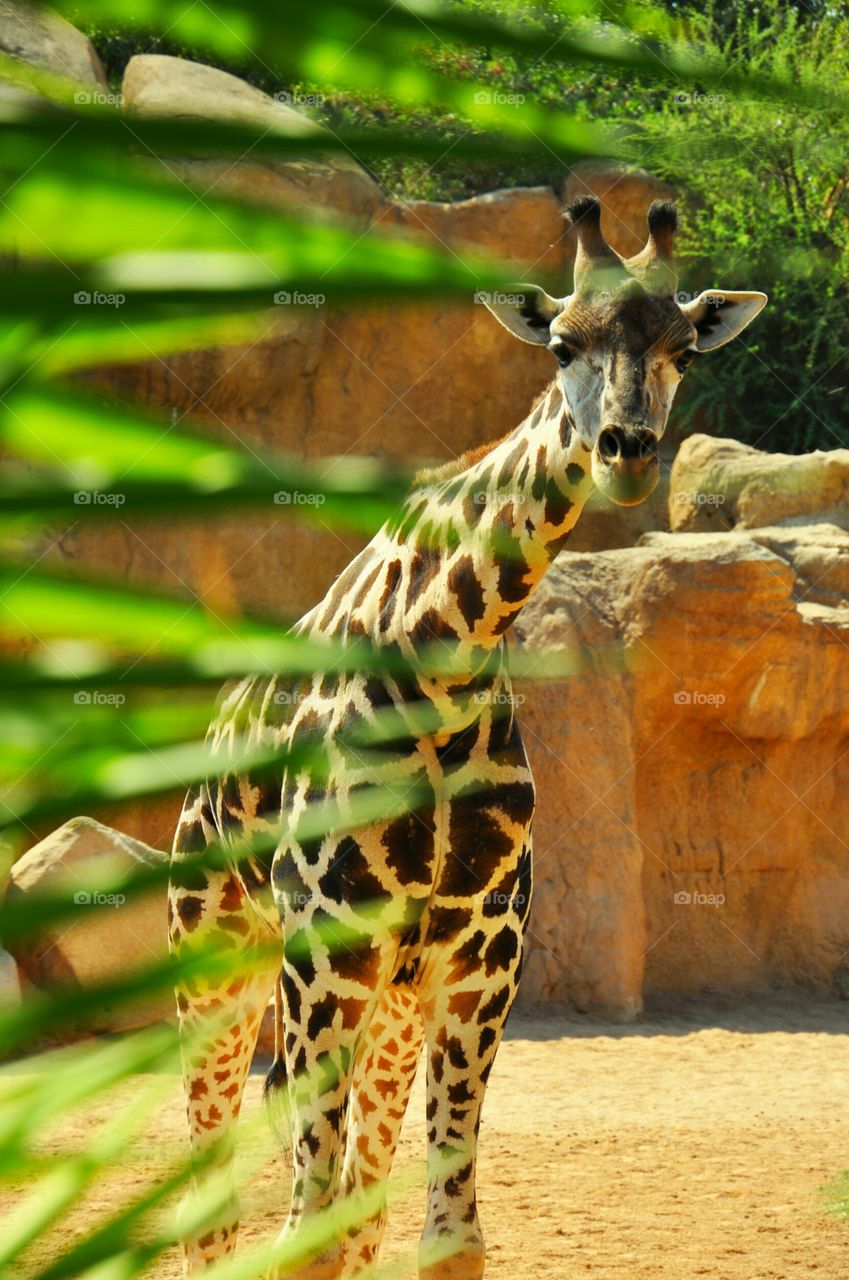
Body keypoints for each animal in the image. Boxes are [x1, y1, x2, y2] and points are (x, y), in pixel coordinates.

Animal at [169, 194, 768, 1274]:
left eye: (680, 350)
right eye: (563, 343)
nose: (625, 450)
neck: (443, 656)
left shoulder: (480, 949)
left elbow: (444, 1237)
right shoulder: (325, 943)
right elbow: (305, 1232)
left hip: (390, 994)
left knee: (352, 1192)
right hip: (221, 953)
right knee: (217, 1191)